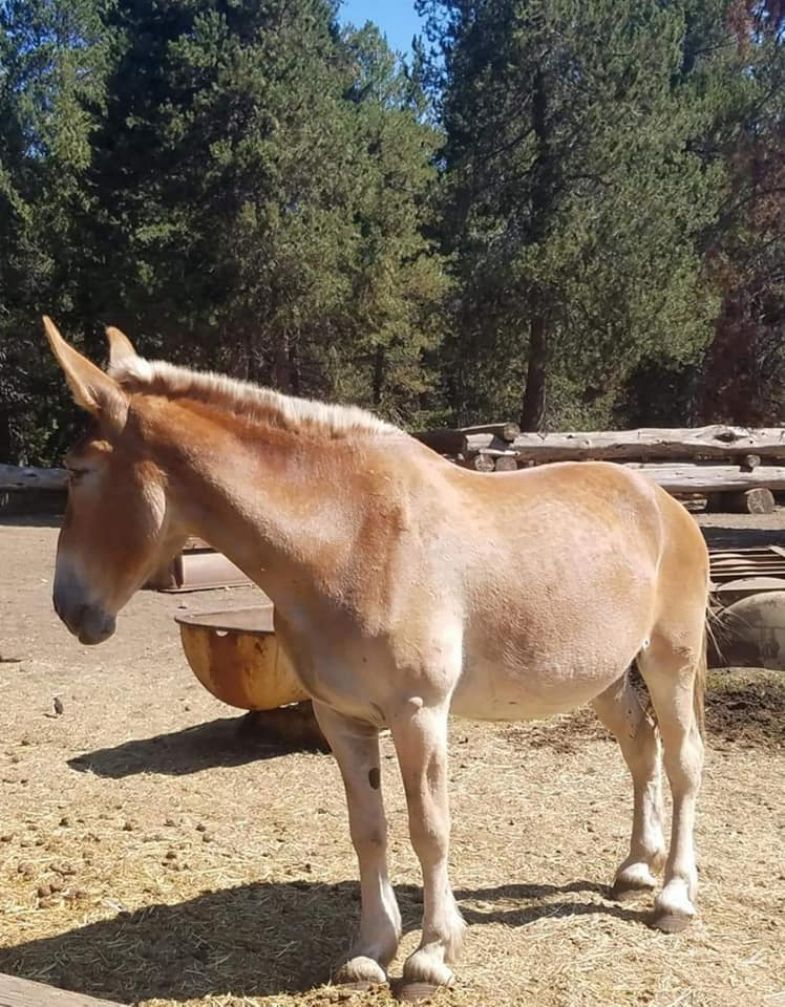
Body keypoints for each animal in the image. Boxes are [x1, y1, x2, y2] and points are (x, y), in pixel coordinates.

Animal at [44, 316, 709, 996]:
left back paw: (674, 897)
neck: (349, 537)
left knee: (682, 760)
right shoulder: (342, 718)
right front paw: (369, 951)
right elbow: (369, 829)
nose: (69, 607)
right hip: (604, 678)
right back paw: (635, 869)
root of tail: (663, 503)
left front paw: (430, 955)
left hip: (669, 663)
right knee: (641, 748)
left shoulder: (418, 714)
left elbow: (429, 828)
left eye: (77, 471)